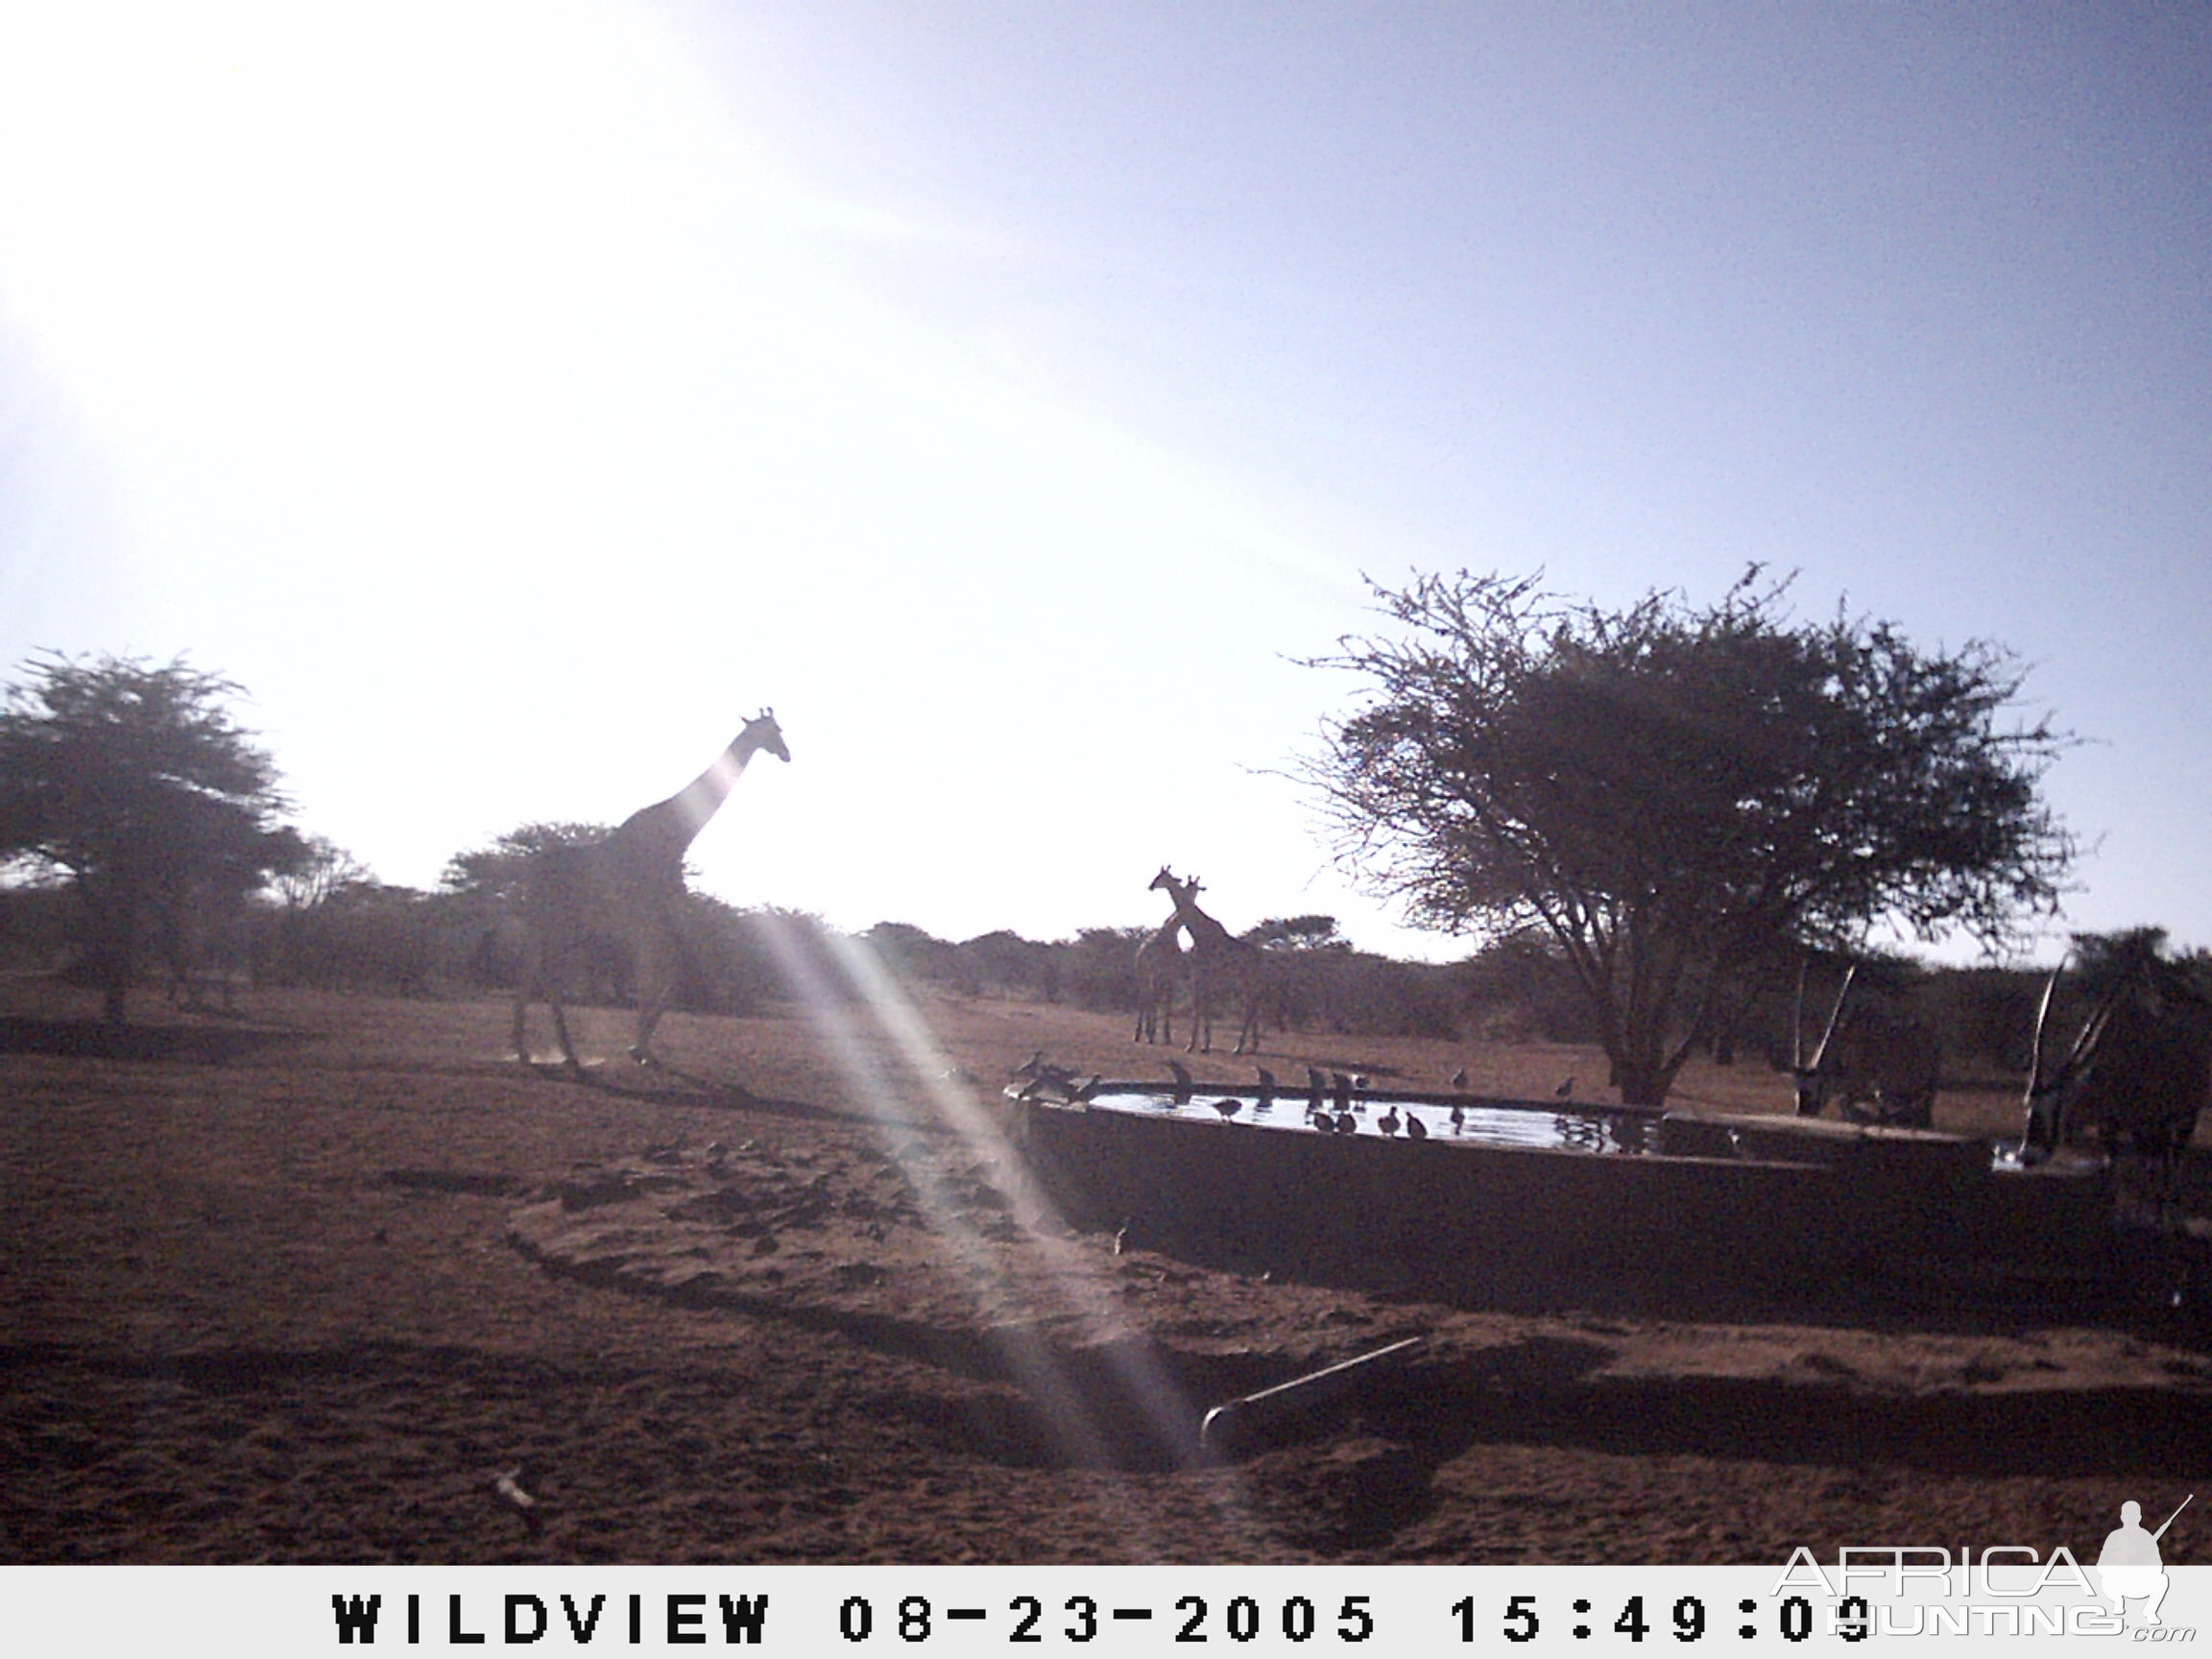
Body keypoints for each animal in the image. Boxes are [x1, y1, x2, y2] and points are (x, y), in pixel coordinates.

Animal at [513, 708, 791, 1070]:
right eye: (774, 731)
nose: (787, 754)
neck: (675, 835)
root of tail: (529, 873)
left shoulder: (660, 920)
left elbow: (670, 972)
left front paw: (642, 1046)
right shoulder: (648, 920)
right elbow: (651, 978)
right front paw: (639, 1048)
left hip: (559, 925)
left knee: (534, 971)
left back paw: (532, 1050)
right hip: (555, 922)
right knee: (542, 973)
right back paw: (560, 1051)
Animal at [1132, 915, 1185, 1044]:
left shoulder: (1170, 979)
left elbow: (1167, 1005)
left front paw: (1167, 1036)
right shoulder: (1155, 976)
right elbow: (1154, 1002)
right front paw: (1151, 1034)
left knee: (1148, 1000)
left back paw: (1146, 1031)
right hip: (1143, 978)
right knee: (1144, 1000)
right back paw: (1139, 1033)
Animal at [1150, 871, 1274, 1052]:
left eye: (1162, 876)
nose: (1151, 886)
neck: (1197, 933)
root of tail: (1262, 957)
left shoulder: (1206, 974)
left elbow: (1203, 1006)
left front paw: (1200, 1045)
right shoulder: (1198, 974)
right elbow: (1200, 1005)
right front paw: (1198, 1044)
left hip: (1248, 979)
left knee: (1250, 1007)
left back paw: (1239, 1047)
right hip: (1246, 981)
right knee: (1253, 1005)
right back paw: (1252, 1046)